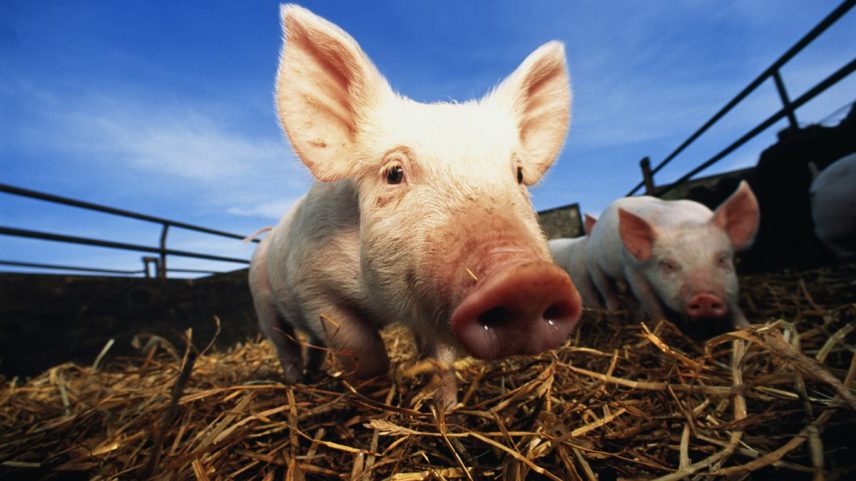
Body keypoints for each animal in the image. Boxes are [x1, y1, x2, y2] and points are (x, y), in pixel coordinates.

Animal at [249, 5, 581, 410]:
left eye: (518, 173)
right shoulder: (313, 286)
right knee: (285, 343)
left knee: (311, 344)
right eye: (394, 173)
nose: (527, 278)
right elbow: (363, 351)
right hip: (262, 300)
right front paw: (374, 390)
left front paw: (446, 408)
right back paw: (297, 381)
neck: (383, 306)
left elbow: (441, 359)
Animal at [585, 181, 759, 333]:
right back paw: (615, 319)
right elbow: (651, 304)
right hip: (595, 267)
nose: (704, 297)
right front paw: (662, 330)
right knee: (608, 293)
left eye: (722, 259)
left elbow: (734, 305)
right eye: (668, 265)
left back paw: (637, 320)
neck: (680, 222)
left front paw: (747, 328)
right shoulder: (632, 269)